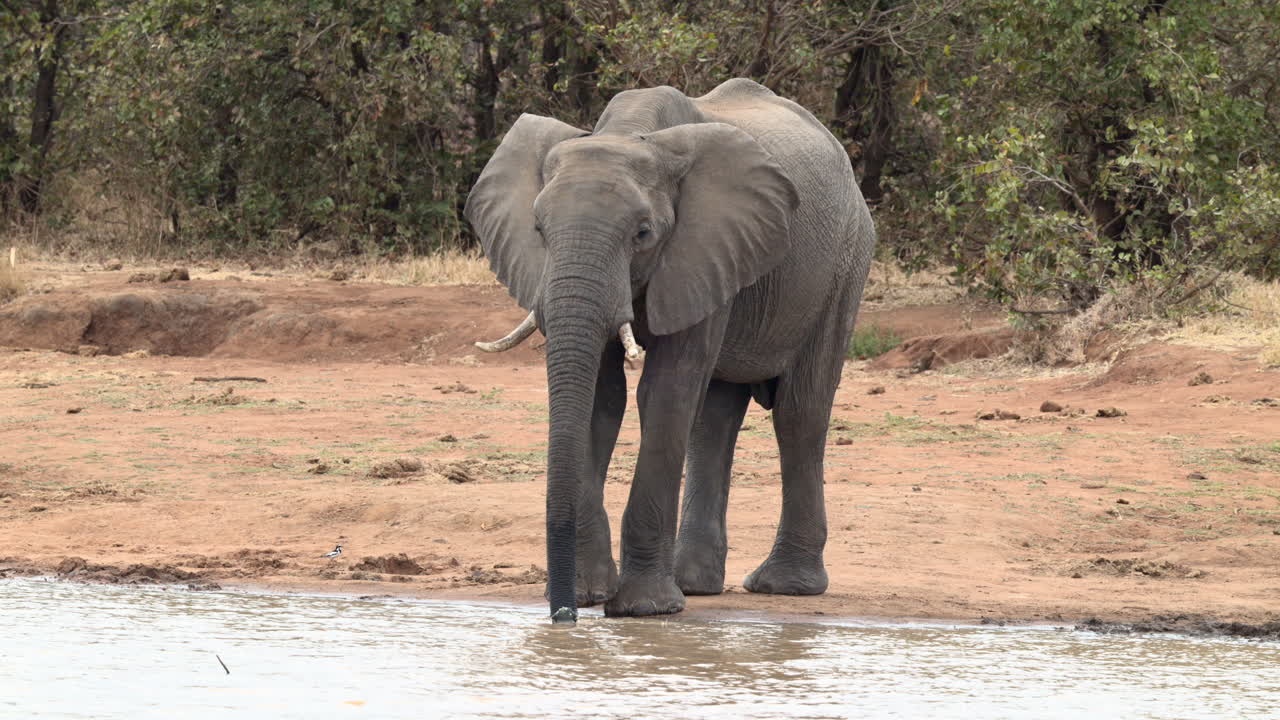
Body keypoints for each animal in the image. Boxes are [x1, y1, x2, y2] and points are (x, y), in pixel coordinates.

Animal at [465, 78, 875, 622]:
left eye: (643, 233)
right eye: (538, 231)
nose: (562, 616)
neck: (630, 133)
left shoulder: (703, 245)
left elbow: (664, 391)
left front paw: (644, 609)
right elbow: (601, 397)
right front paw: (592, 595)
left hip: (844, 266)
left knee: (799, 413)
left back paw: (783, 587)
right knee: (715, 419)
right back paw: (696, 585)